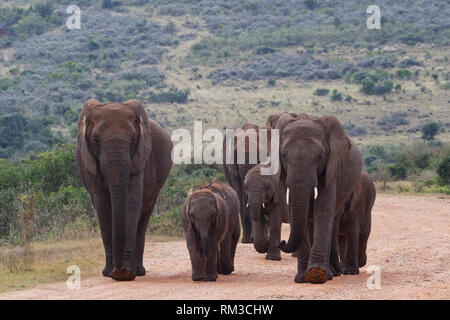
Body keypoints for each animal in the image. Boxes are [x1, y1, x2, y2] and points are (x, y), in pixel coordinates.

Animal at [75, 99, 172, 282]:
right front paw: (109, 273)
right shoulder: (90, 163)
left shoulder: (140, 158)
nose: (117, 269)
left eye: (133, 139)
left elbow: (131, 202)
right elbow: (103, 205)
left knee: (144, 216)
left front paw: (126, 273)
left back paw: (139, 271)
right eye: (95, 140)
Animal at [274, 112, 362, 282]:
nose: (281, 242)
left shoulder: (332, 168)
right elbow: (293, 209)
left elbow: (323, 209)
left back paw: (333, 273)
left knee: (332, 221)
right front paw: (302, 278)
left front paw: (317, 274)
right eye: (283, 155)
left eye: (320, 156)